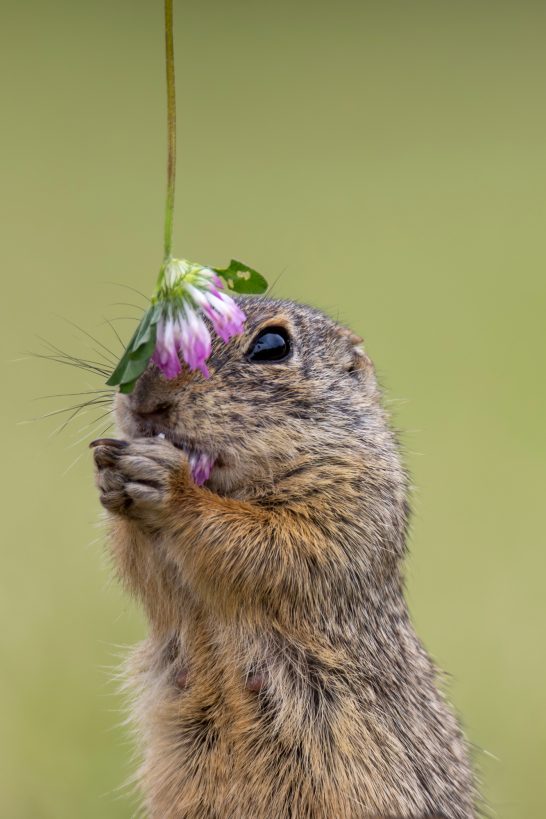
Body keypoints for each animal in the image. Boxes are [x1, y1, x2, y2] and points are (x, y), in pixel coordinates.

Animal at [91, 298, 474, 816]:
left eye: (272, 346)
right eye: (149, 332)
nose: (144, 400)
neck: (233, 483)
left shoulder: (349, 497)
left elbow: (276, 543)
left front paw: (171, 486)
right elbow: (143, 568)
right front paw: (110, 469)